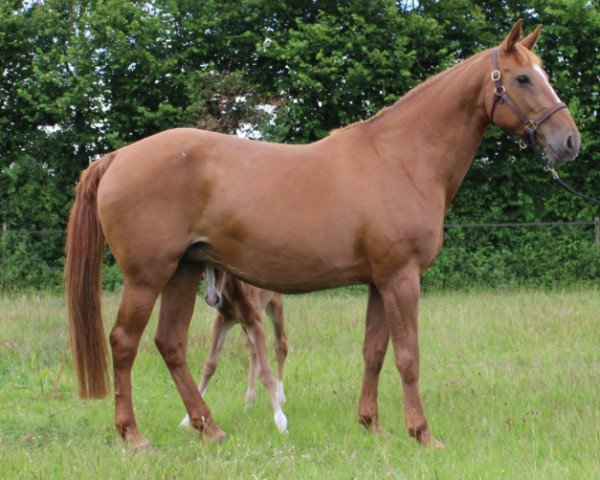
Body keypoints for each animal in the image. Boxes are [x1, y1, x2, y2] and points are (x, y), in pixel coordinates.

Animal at [180, 268, 288, 434]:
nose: (212, 298)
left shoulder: (255, 321)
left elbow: (265, 372)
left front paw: (280, 419)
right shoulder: (223, 320)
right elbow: (210, 364)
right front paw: (188, 418)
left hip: (275, 304)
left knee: (280, 346)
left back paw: (280, 396)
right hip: (244, 324)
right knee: (253, 350)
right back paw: (249, 400)